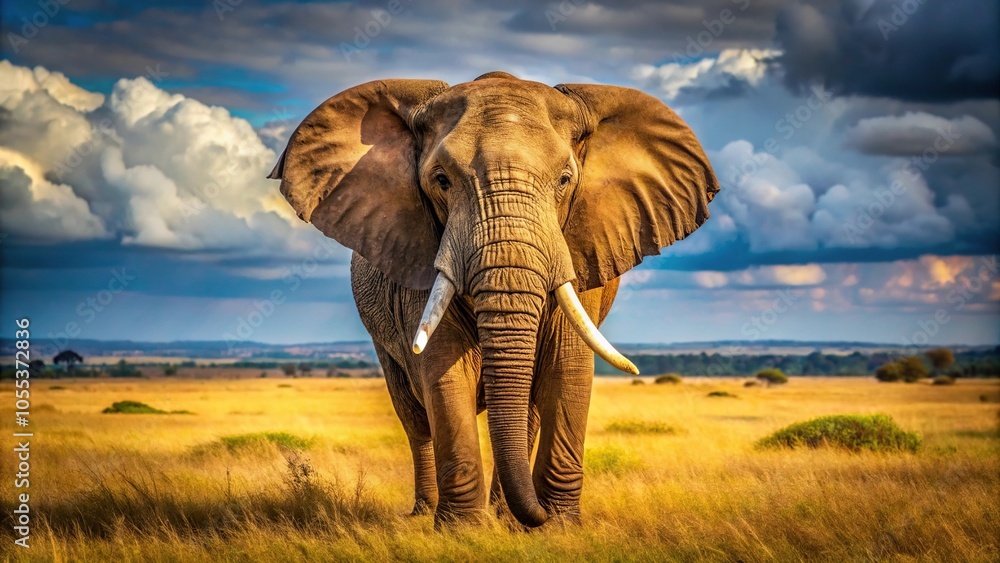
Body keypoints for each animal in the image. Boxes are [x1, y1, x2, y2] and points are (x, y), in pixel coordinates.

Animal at [267, 71, 720, 529]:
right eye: (441, 180)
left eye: (565, 180)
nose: (537, 514)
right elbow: (444, 373)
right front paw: (462, 529)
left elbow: (567, 366)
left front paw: (556, 526)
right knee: (415, 417)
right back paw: (425, 514)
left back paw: (507, 518)